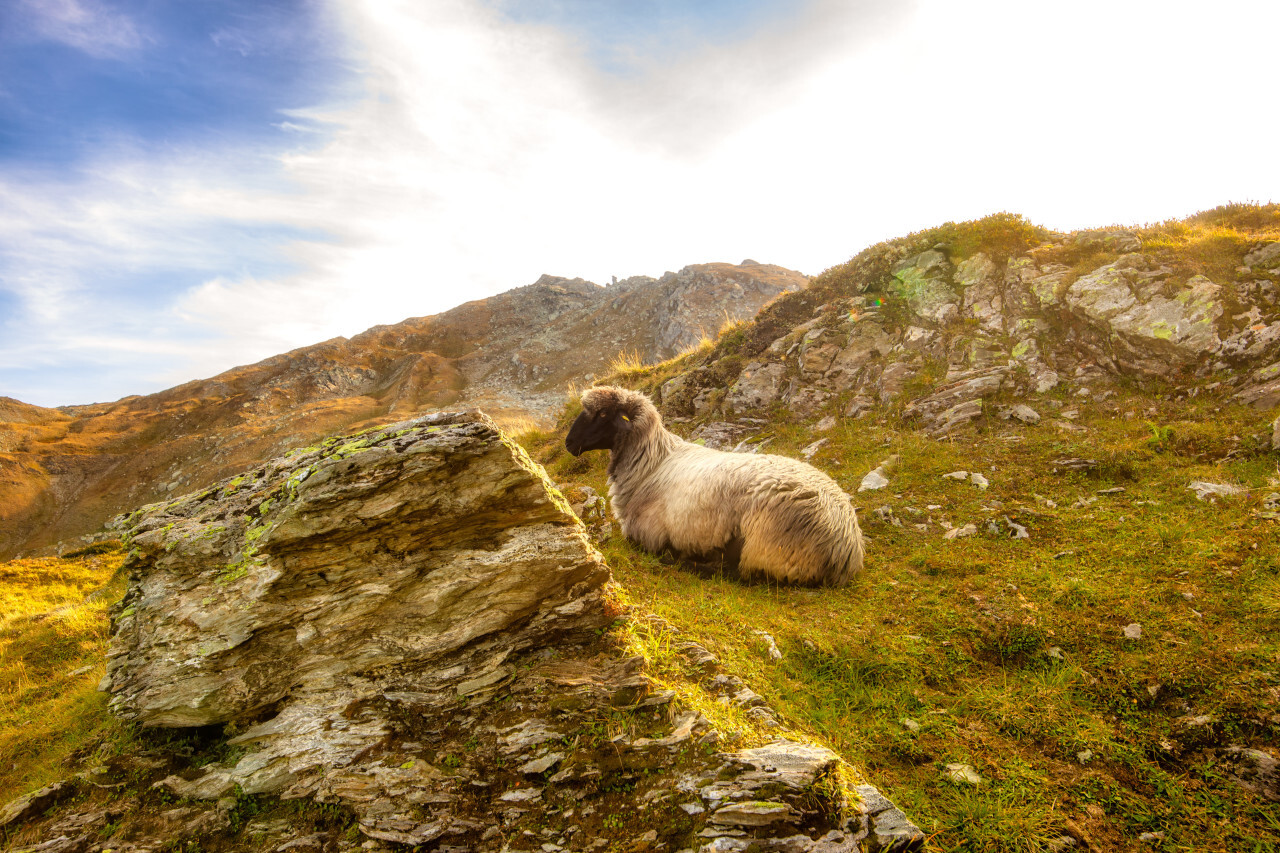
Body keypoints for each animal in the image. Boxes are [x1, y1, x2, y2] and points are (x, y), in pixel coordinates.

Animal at [565, 384, 865, 584]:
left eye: (603, 414)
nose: (569, 443)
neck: (651, 462)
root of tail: (848, 545)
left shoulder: (646, 535)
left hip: (766, 546)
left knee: (744, 574)